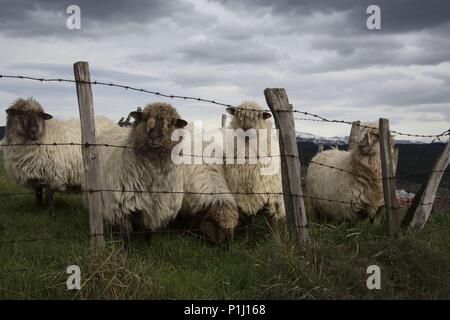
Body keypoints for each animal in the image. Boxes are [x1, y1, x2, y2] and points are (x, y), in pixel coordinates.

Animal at [224, 100, 284, 238]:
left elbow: (273, 219)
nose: (247, 130)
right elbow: (247, 219)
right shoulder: (241, 194)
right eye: (239, 115)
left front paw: (276, 240)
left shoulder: (271, 193)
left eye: (258, 116)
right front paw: (246, 239)